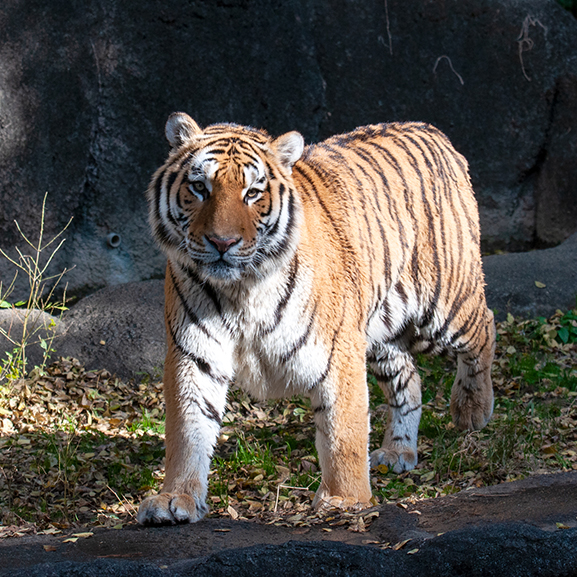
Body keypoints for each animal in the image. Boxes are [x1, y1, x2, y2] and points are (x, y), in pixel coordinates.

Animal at [136, 111, 496, 520]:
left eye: (253, 193)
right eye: (199, 187)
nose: (222, 242)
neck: (242, 289)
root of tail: (431, 129)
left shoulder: (337, 351)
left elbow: (343, 432)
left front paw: (346, 500)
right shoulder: (195, 354)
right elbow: (186, 428)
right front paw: (175, 498)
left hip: (440, 304)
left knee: (484, 327)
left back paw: (471, 410)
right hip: (379, 327)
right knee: (409, 378)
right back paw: (397, 451)